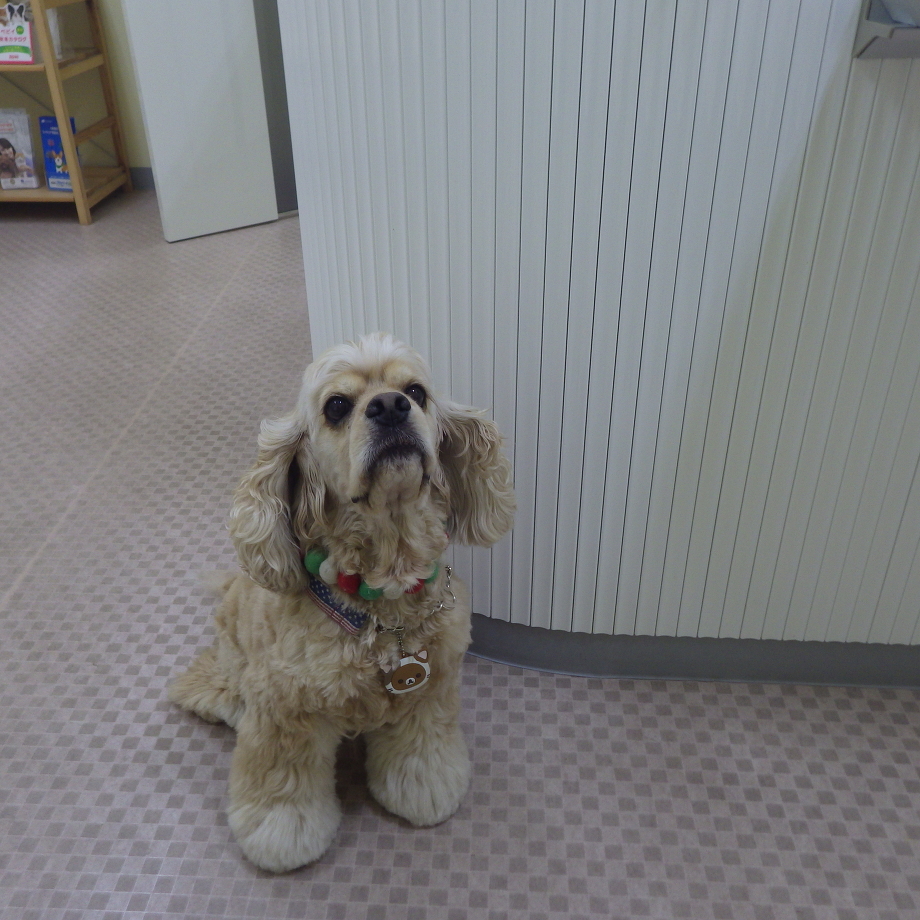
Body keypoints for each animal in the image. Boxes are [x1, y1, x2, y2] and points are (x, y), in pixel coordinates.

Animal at [169, 332, 515, 872]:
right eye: (336, 406)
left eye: (415, 392)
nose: (391, 406)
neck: (383, 600)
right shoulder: (283, 709)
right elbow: (281, 780)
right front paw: (280, 832)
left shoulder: (429, 689)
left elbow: (422, 747)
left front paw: (426, 787)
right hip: (231, 663)